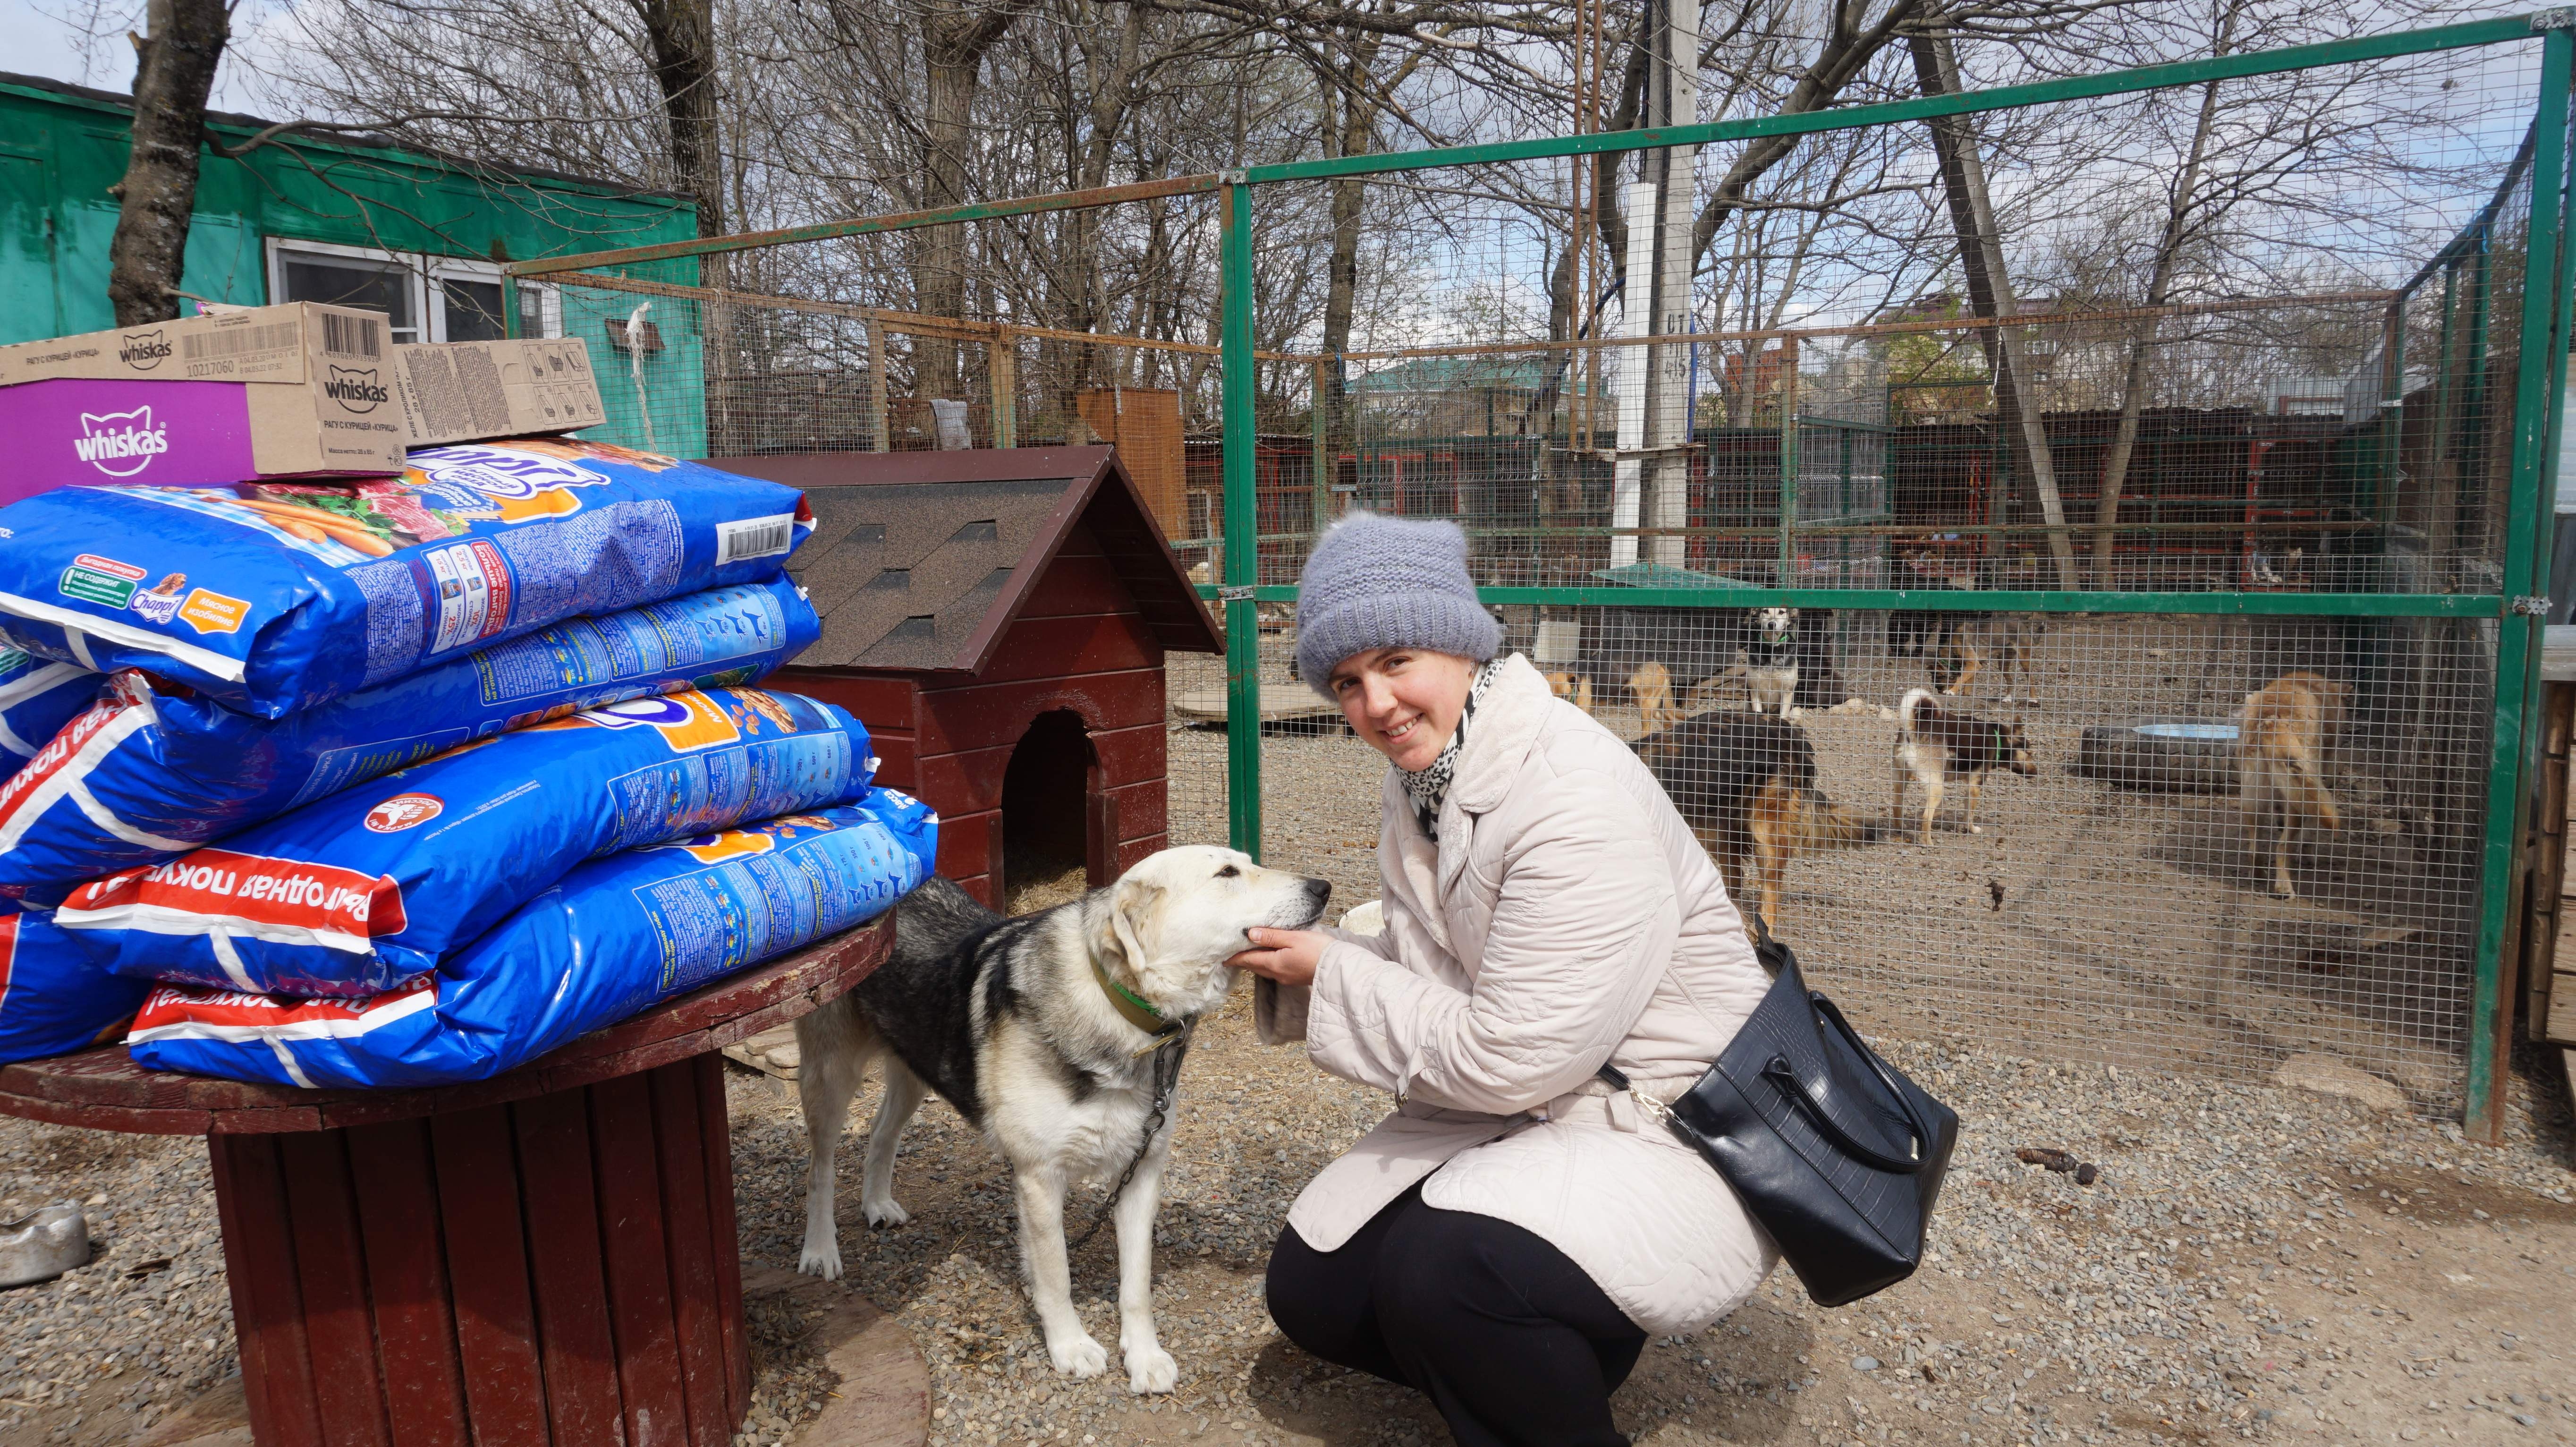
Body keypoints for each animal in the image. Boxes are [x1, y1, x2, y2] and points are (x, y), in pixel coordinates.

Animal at [793, 844, 1339, 1390]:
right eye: (1226, 873)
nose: (1323, 888)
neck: (1119, 1008)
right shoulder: (1039, 1179)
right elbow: (1055, 1273)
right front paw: (1070, 1346)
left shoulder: (1141, 1174)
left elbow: (1136, 1283)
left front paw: (1144, 1356)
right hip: (831, 1075)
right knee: (820, 1170)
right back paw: (820, 1250)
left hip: (915, 1064)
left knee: (881, 1133)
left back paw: (877, 1203)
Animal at [1896, 685, 2030, 839]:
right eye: (2030, 753)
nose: (2037, 773)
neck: (1997, 738)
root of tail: (1913, 730)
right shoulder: (1974, 786)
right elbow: (1969, 815)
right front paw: (1971, 829)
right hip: (1936, 786)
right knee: (1926, 818)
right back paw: (1927, 842)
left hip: (1901, 778)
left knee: (1897, 806)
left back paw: (1901, 828)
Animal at [2236, 669, 2359, 896]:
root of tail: (2271, 720)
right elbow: (2310, 834)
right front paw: (2308, 855)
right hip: (2298, 804)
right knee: (2282, 848)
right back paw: (2284, 887)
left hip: (2253, 801)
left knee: (2254, 849)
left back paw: (2258, 875)